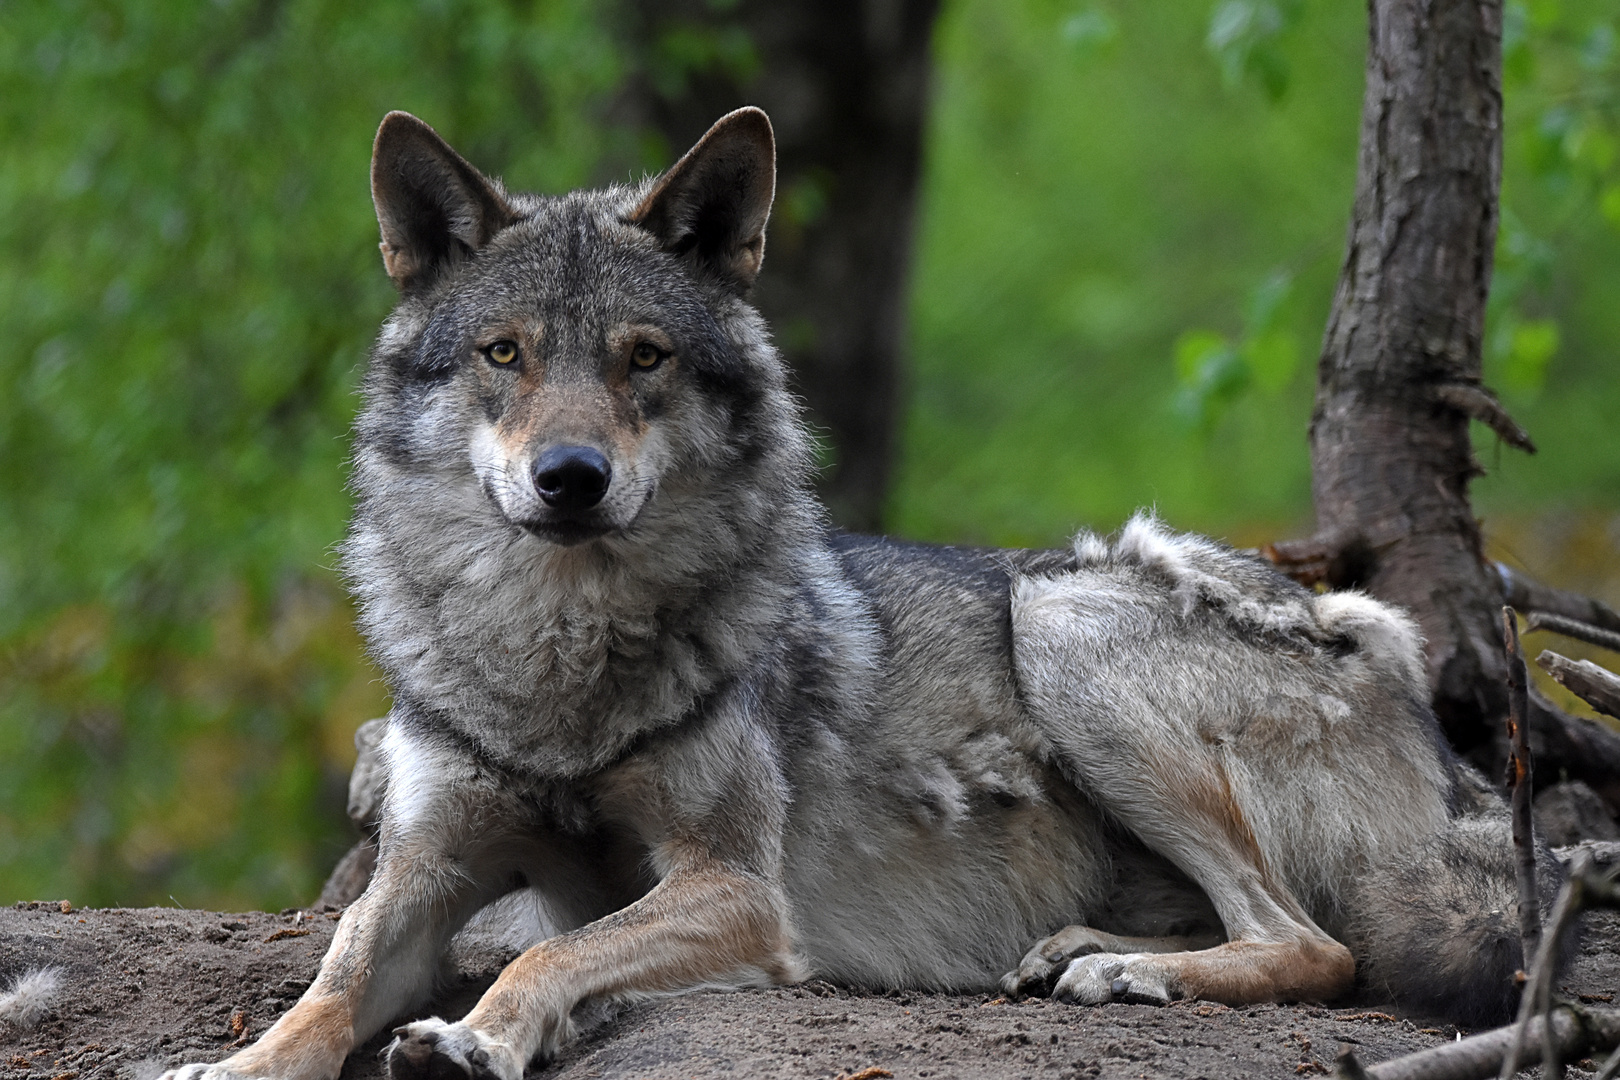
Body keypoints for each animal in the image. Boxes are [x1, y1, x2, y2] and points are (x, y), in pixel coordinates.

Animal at [161, 103, 1542, 1080]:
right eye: (506, 354)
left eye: (643, 359)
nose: (570, 479)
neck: (554, 650)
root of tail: (1408, 680)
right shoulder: (426, 865)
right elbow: (331, 983)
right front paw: (234, 1065)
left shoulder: (739, 891)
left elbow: (555, 945)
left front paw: (475, 1037)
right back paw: (1084, 950)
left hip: (1064, 622)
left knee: (1320, 945)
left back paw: (1130, 976)